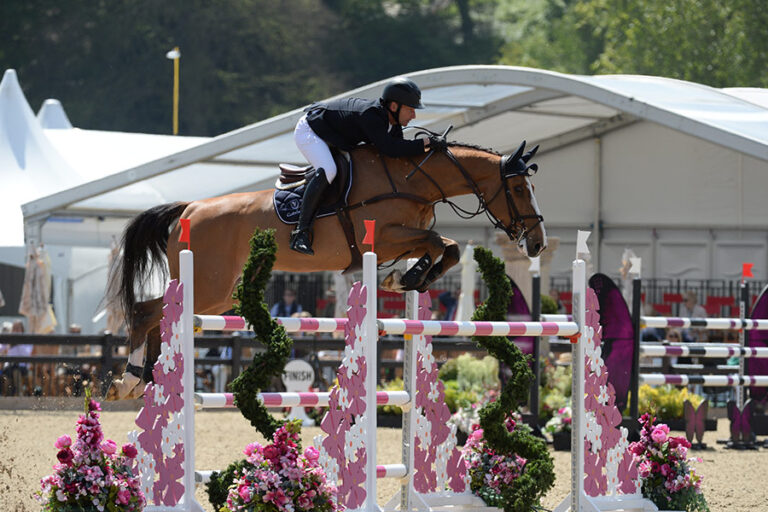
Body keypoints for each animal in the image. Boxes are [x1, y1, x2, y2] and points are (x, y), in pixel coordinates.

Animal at [105, 140, 544, 400]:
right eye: (518, 189)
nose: (537, 242)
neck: (413, 181)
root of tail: (189, 208)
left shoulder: (406, 237)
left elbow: (446, 247)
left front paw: (405, 279)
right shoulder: (383, 238)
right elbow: (440, 243)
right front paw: (405, 278)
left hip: (219, 294)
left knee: (157, 316)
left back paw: (145, 380)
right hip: (207, 287)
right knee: (146, 312)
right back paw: (129, 380)